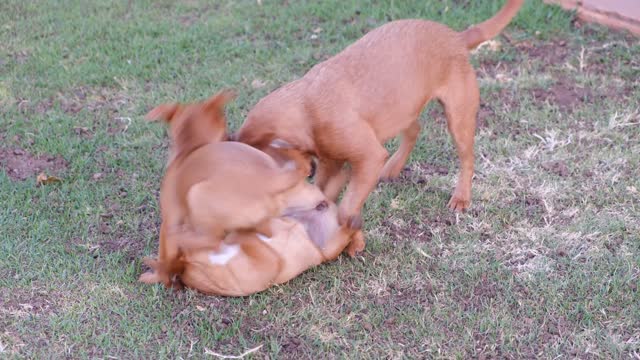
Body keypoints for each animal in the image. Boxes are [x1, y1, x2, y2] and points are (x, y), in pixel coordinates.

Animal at [141, 91, 312, 288]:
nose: (230, 137)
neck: (190, 148)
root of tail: (272, 179)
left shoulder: (170, 218)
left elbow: (164, 253)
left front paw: (157, 275)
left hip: (197, 194)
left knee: (212, 239)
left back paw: (182, 237)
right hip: (263, 215)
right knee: (262, 231)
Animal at [235, 2, 524, 235]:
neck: (307, 107)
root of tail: (457, 37)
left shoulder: (367, 157)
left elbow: (346, 205)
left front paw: (347, 226)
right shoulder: (332, 163)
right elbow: (324, 194)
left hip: (458, 116)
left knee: (467, 159)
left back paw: (461, 198)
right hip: (402, 108)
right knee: (414, 130)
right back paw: (393, 168)